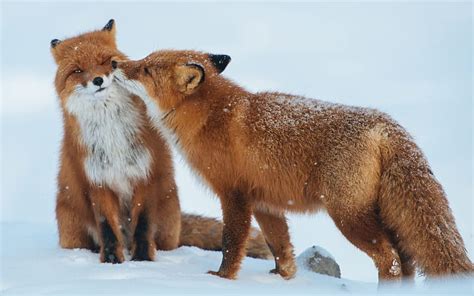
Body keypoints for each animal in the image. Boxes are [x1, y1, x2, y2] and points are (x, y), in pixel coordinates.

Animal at [113, 49, 472, 280]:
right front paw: (282, 278)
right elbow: (280, 246)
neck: (212, 117)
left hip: (348, 216)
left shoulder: (234, 195)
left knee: (391, 260)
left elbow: (232, 244)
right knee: (406, 261)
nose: (116, 63)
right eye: (143, 60)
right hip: (379, 215)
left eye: (145, 69)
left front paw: (221, 279)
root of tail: (386, 125)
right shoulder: (265, 202)